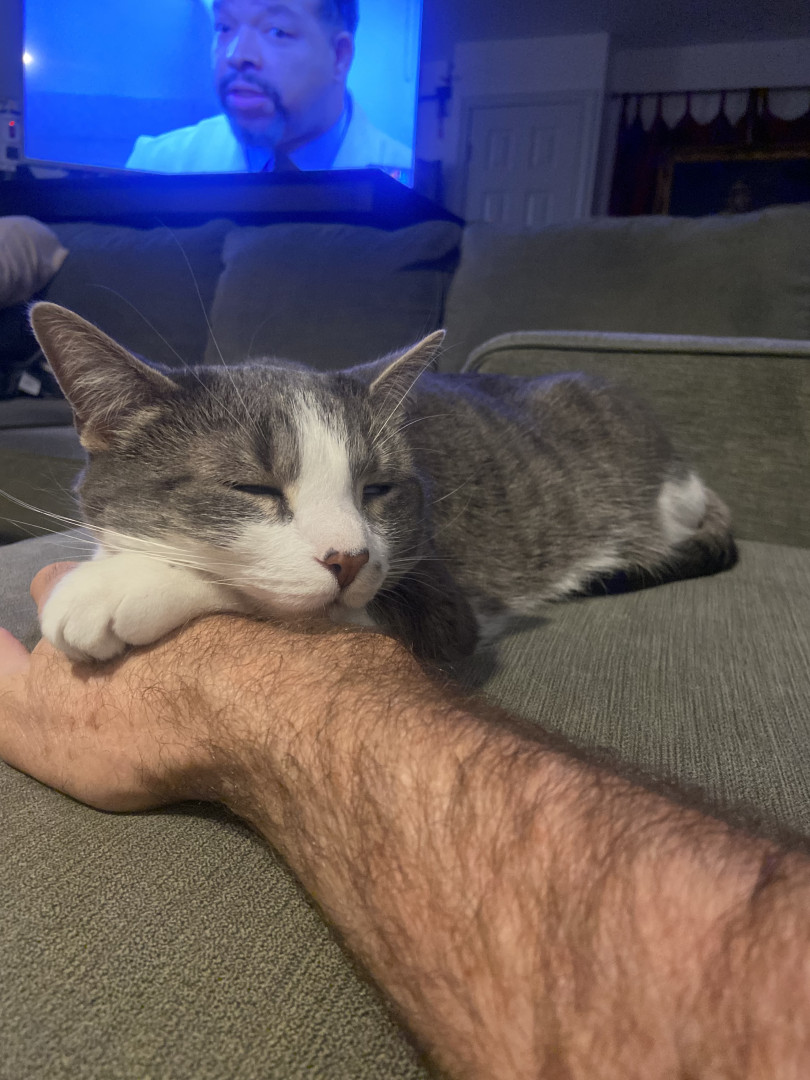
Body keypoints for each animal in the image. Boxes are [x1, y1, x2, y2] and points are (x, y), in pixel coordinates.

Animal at [29, 301, 737, 664]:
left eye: (377, 489)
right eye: (254, 489)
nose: (349, 558)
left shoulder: (441, 606)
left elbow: (268, 596)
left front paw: (120, 583)